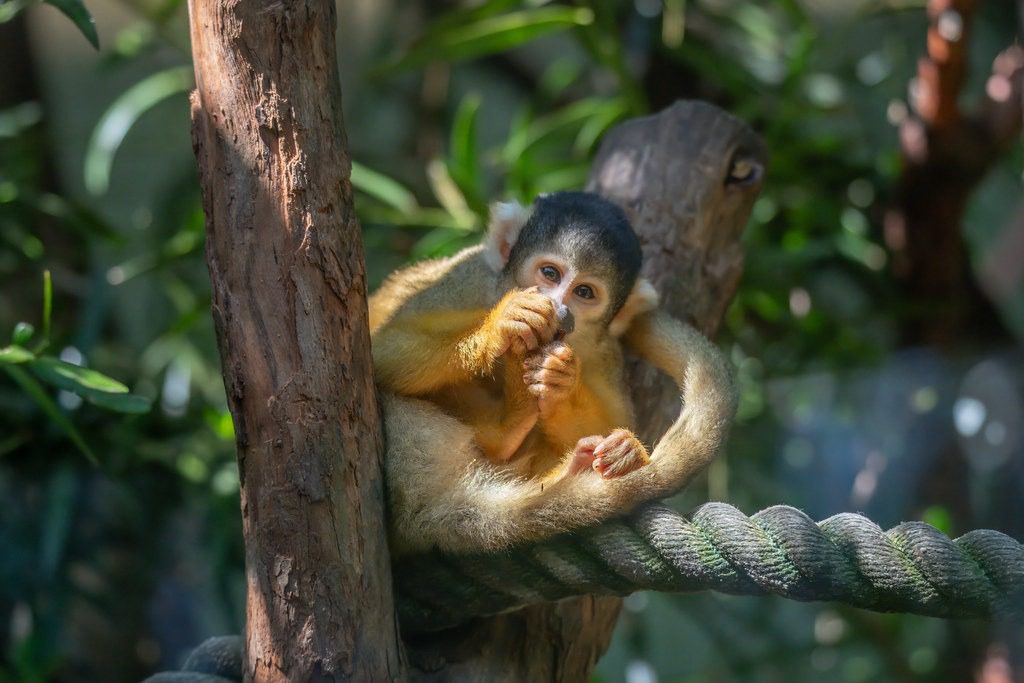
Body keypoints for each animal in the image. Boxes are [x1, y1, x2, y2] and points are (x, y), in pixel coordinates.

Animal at [369, 191, 737, 555]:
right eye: (549, 273)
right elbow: (385, 350)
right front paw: (500, 326)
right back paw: (505, 432)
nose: (560, 310)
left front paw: (561, 379)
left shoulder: (603, 350)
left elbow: (612, 417)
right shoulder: (467, 282)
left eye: (584, 292)